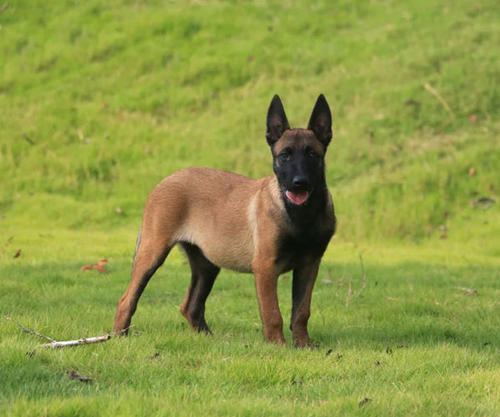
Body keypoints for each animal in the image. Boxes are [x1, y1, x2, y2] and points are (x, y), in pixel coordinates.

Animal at [113, 94, 336, 344]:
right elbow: (272, 313)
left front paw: (303, 345)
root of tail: (166, 179)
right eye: (284, 155)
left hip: (206, 265)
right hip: (153, 251)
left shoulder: (309, 265)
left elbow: (301, 311)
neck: (300, 215)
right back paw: (119, 336)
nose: (299, 183)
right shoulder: (265, 267)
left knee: (190, 305)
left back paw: (210, 339)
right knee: (127, 299)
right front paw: (279, 346)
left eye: (312, 154)